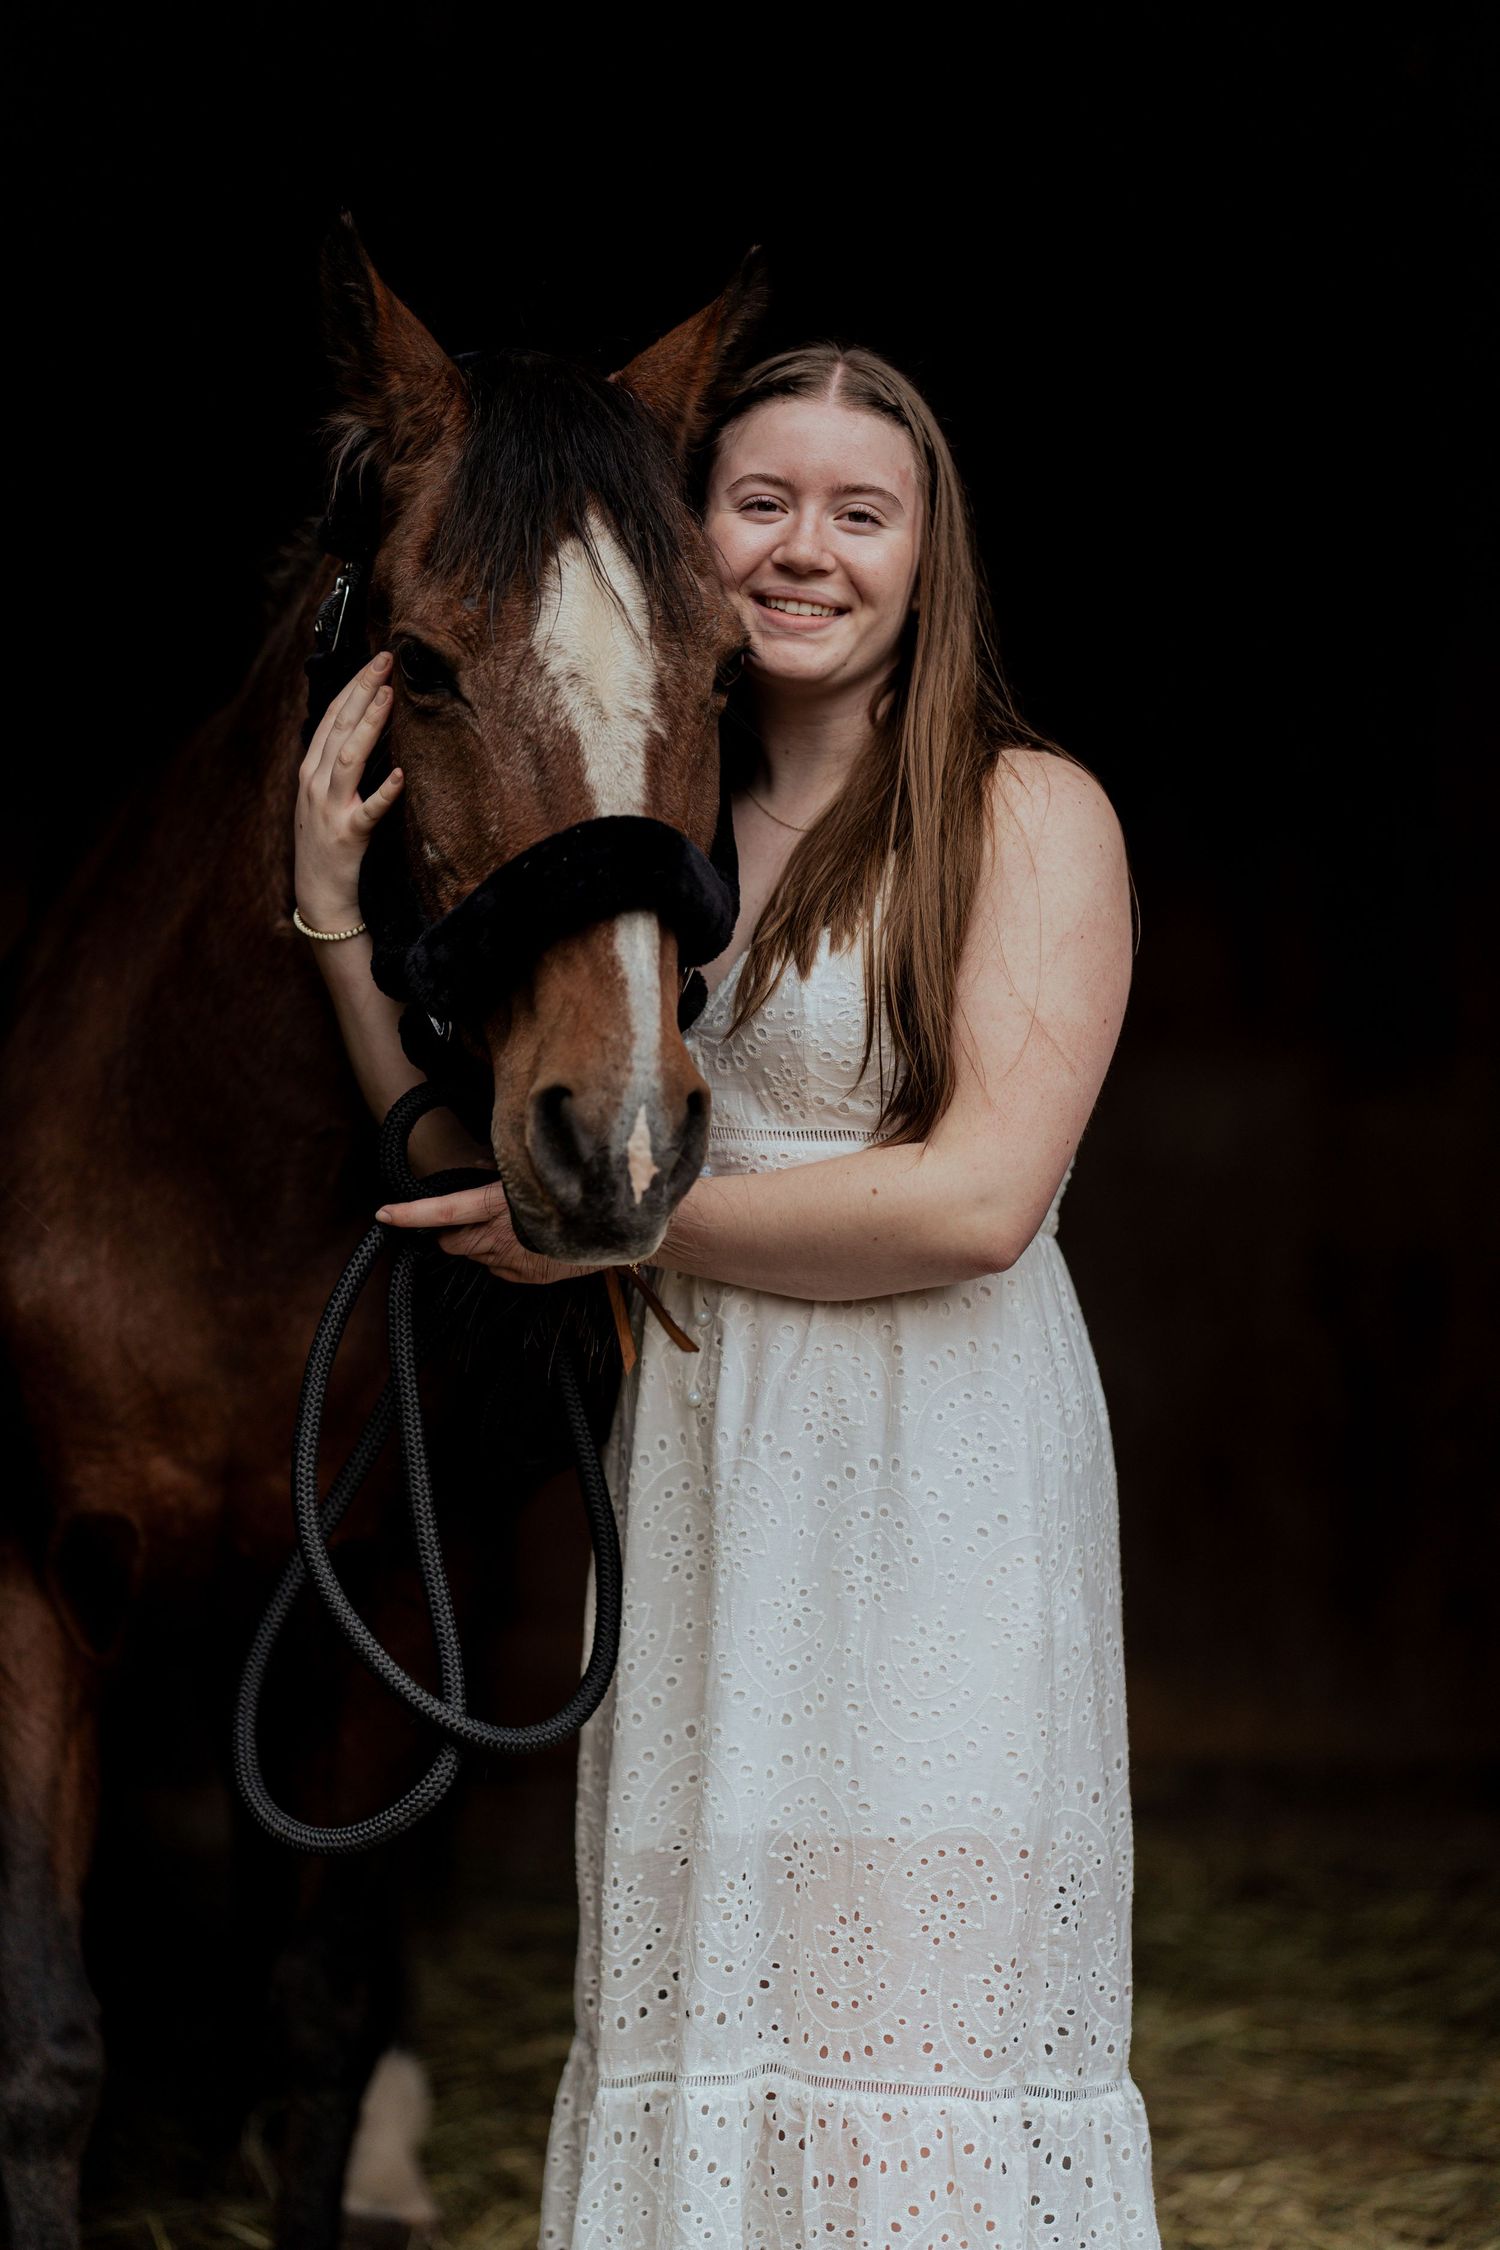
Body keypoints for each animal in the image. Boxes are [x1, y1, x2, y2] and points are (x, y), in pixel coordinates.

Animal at [0, 212, 766, 2246]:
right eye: (414, 662)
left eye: (723, 672)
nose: (615, 1138)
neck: (205, 1178)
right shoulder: (30, 1591)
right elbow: (48, 2046)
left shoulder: (378, 1600)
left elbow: (322, 2015)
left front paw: (342, 2140)